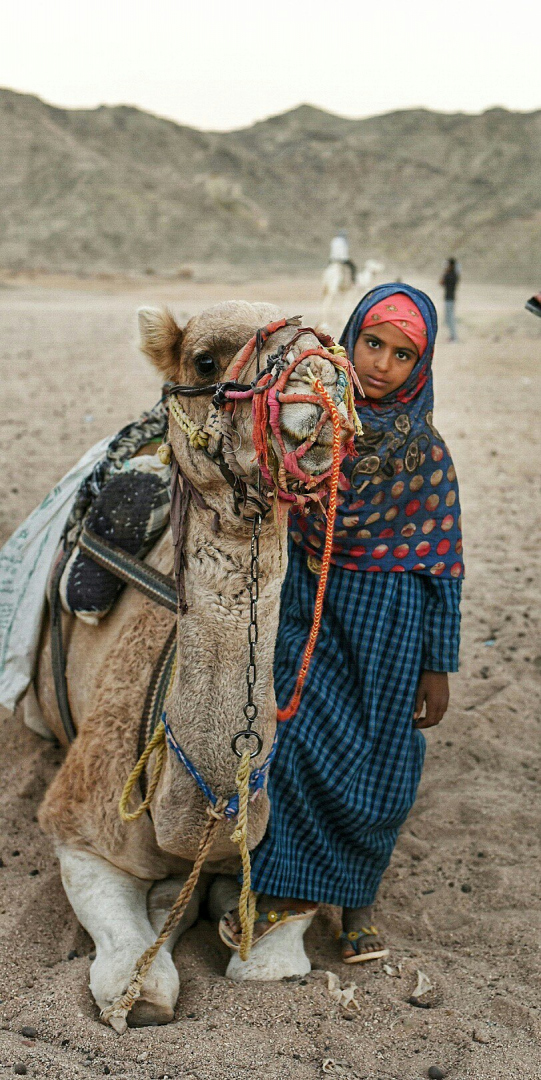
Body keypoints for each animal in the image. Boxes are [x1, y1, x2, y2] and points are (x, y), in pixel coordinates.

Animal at [33, 300, 354, 1032]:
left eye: (330, 345)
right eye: (205, 360)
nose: (317, 381)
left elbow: (273, 960)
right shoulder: (78, 823)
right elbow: (141, 986)